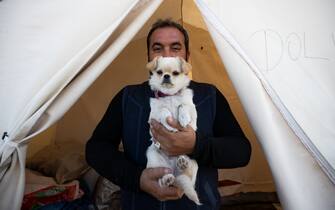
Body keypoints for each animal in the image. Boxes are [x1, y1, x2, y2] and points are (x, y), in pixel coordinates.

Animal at [146, 56, 201, 205]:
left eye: (175, 73)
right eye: (159, 72)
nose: (166, 76)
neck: (170, 95)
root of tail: (175, 173)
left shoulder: (192, 110)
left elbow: (183, 106)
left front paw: (183, 118)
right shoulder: (153, 116)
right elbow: (163, 110)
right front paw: (169, 125)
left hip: (194, 163)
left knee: (188, 176)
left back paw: (182, 164)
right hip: (153, 157)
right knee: (162, 181)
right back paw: (167, 179)